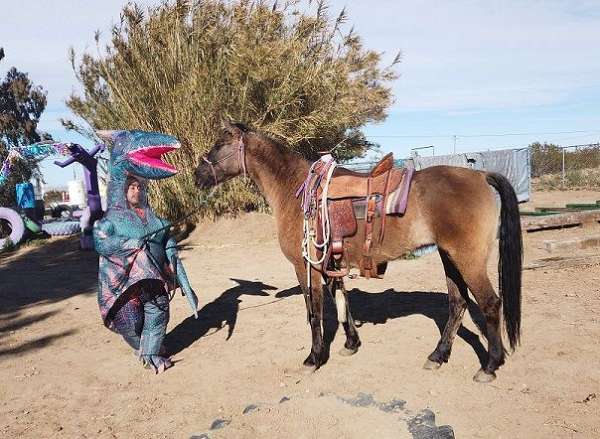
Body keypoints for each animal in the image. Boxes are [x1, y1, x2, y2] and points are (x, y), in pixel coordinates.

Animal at [193, 122, 520, 384]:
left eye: (219, 144)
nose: (197, 176)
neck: (295, 192)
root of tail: (480, 175)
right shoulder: (330, 264)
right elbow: (342, 301)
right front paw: (351, 343)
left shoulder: (306, 267)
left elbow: (314, 313)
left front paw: (314, 358)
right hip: (449, 257)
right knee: (457, 304)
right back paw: (438, 356)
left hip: (467, 259)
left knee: (490, 304)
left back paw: (489, 366)